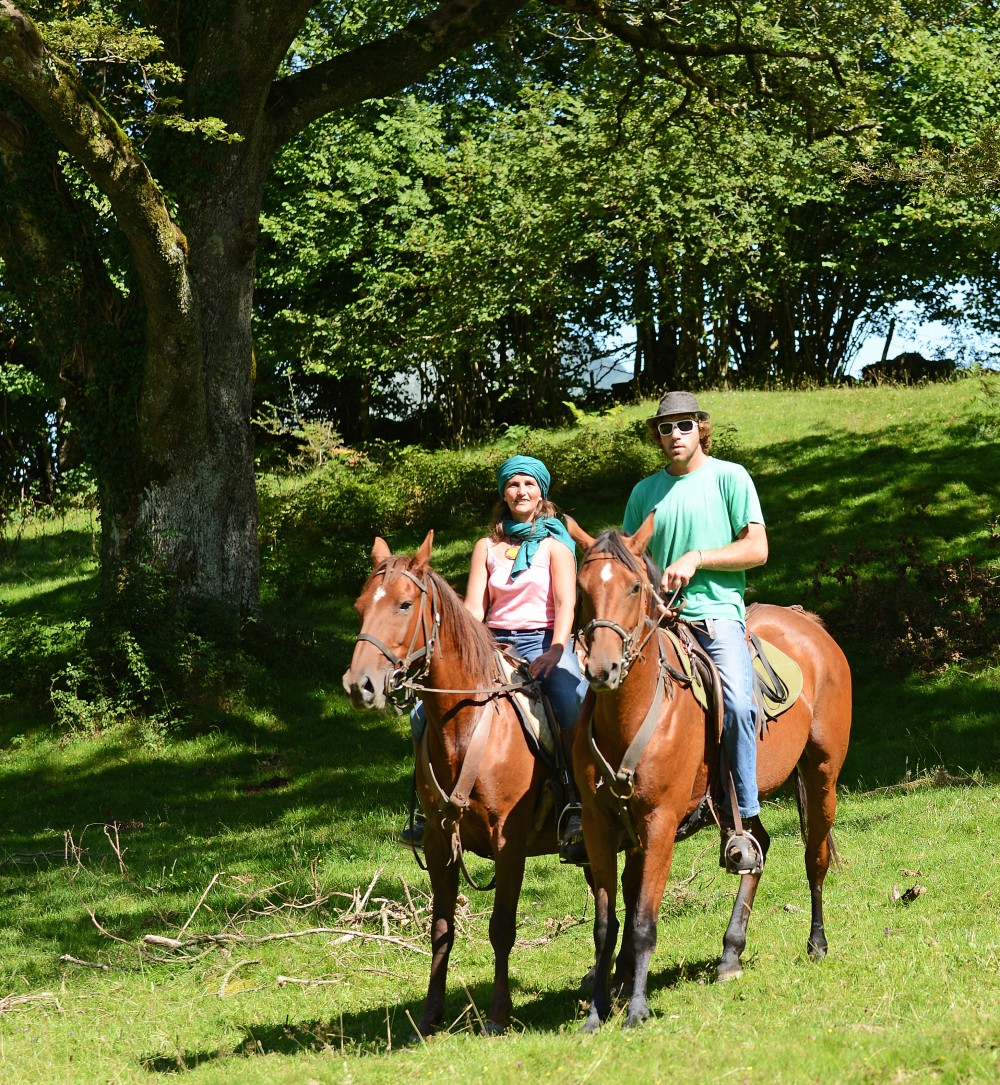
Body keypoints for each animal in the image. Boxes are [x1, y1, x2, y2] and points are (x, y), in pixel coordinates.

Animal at [342, 531, 594, 1032]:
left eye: (404, 604)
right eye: (361, 605)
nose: (360, 685)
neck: (470, 723)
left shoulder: (508, 842)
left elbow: (502, 928)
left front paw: (497, 1014)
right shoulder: (440, 842)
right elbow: (440, 930)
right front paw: (429, 1014)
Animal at [568, 512, 850, 1028]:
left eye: (634, 587)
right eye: (581, 588)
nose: (602, 668)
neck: (634, 713)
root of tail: (806, 621)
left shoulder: (659, 823)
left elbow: (643, 920)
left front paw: (636, 1009)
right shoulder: (601, 825)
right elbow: (605, 924)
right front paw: (597, 1011)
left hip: (822, 775)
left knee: (814, 857)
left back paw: (817, 942)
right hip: (738, 798)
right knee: (757, 848)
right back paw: (730, 953)